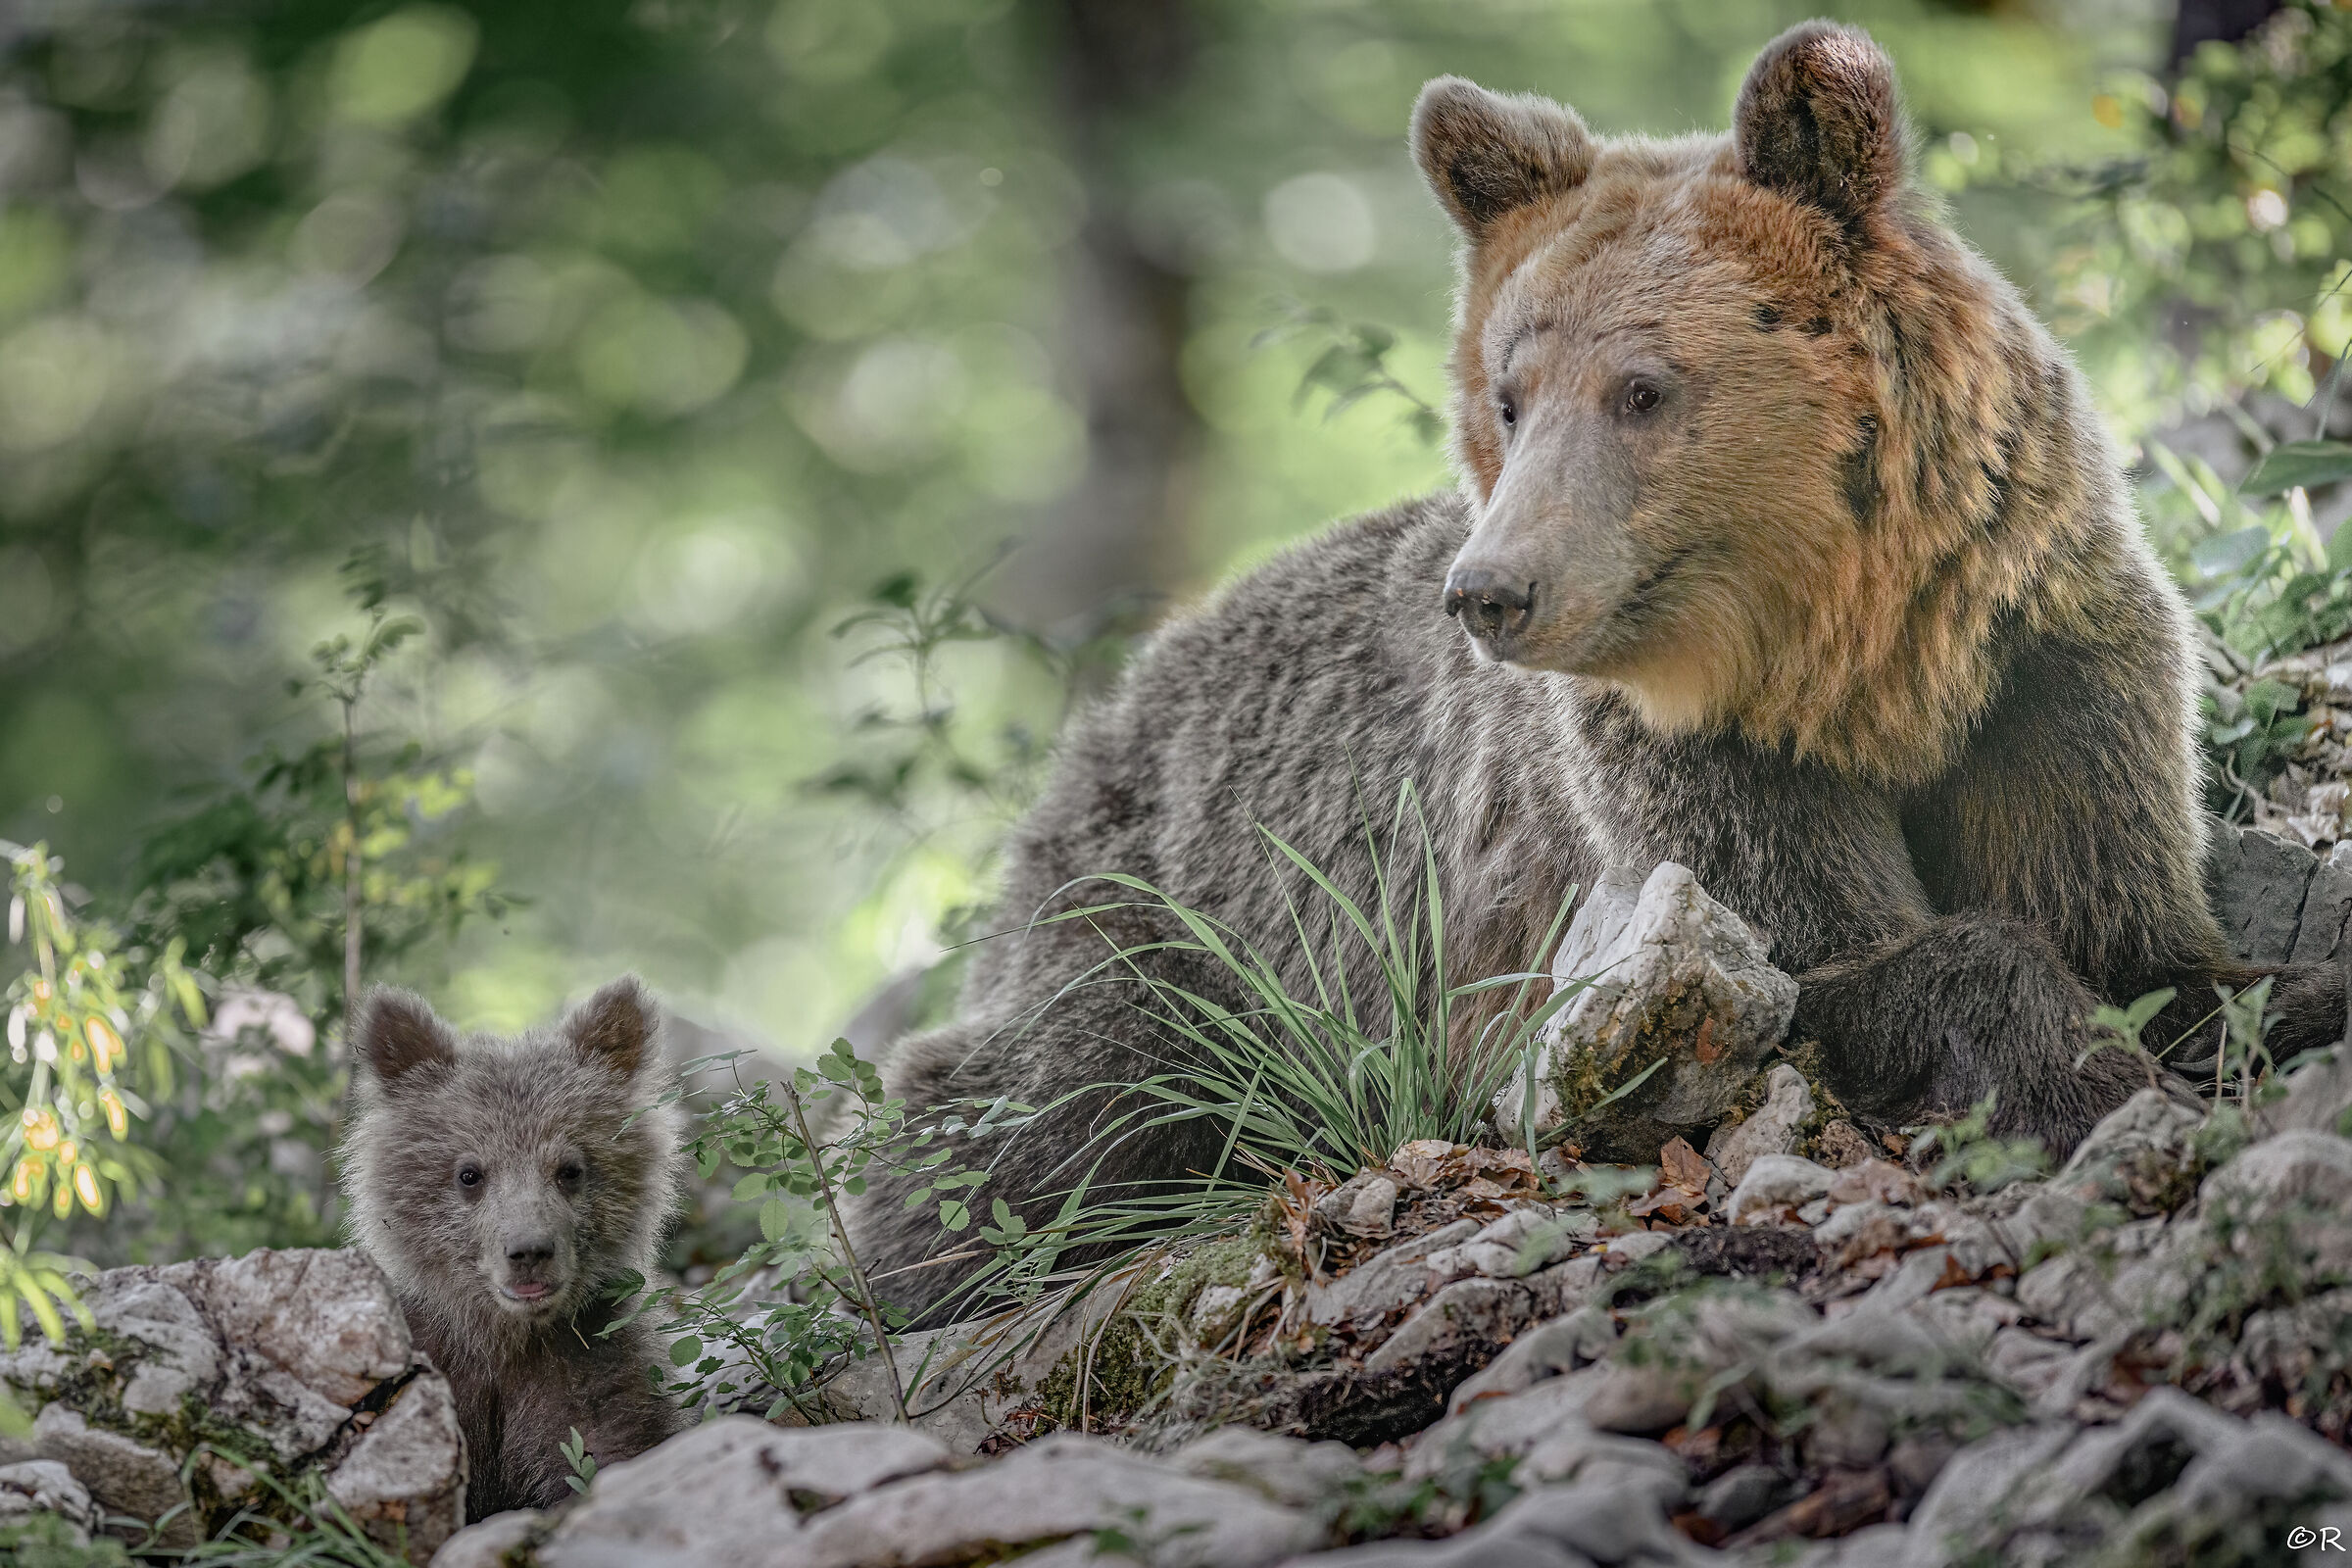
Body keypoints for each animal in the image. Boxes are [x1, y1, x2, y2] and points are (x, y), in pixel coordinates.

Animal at [341, 977, 686, 1520]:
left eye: (570, 1169)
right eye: (469, 1173)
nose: (528, 1250)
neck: (507, 1340)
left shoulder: (589, 1367)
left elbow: (612, 1443)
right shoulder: (437, 1374)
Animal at [849, 21, 2345, 1318]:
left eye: (1642, 387)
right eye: (1510, 396)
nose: (1490, 592)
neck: (1863, 668)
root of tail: (1106, 716)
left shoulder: (2042, 673)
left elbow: (2132, 920)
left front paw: (2266, 1007)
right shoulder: (1666, 788)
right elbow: (1812, 954)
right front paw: (2084, 1075)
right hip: (1166, 919)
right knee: (1060, 1098)